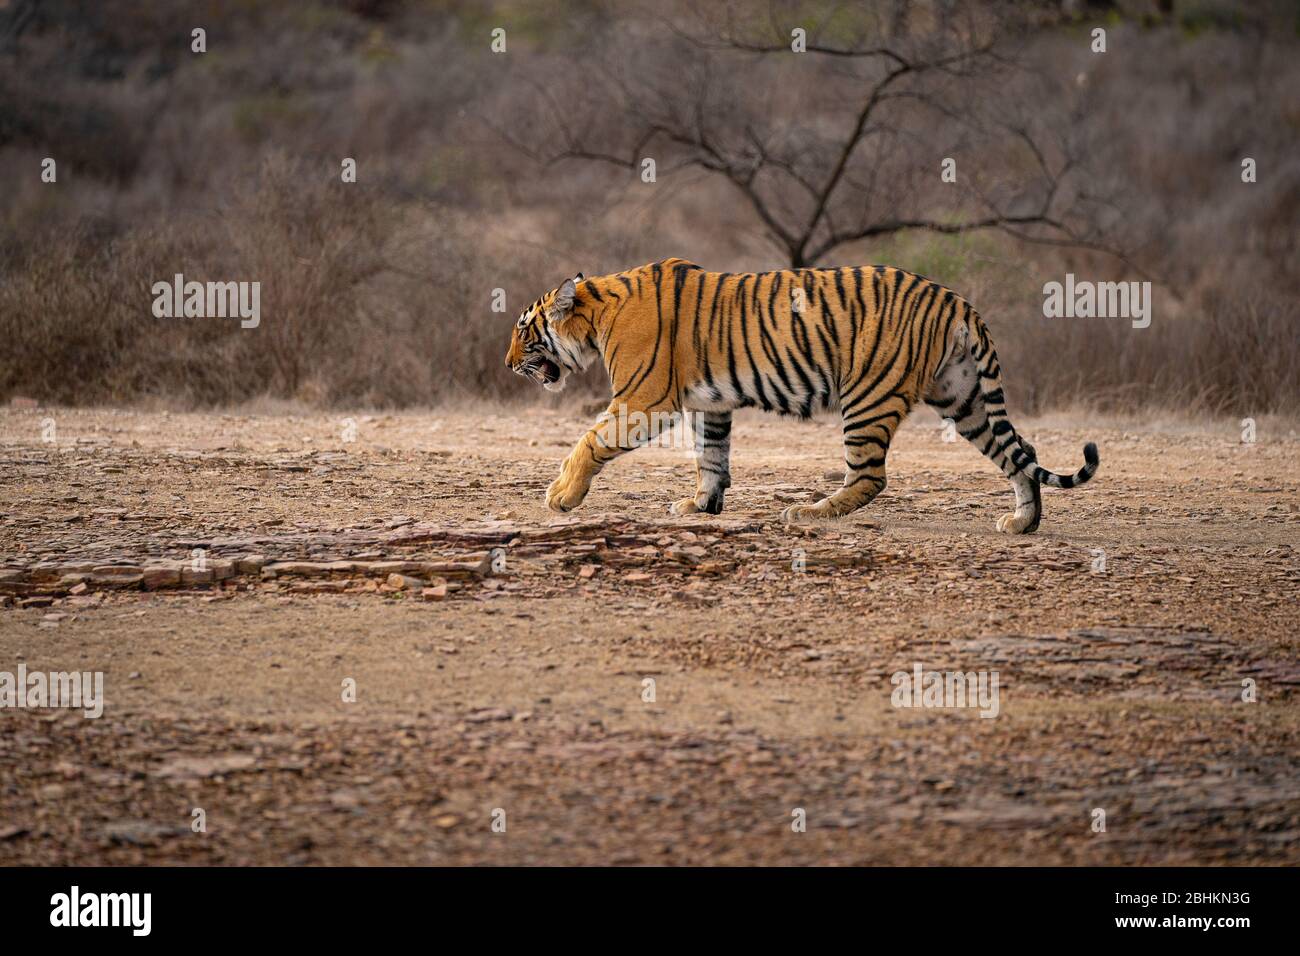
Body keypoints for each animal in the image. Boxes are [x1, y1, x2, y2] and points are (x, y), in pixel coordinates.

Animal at [504, 260, 1097, 530]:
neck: (597, 312)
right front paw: (700, 504)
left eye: (524, 331)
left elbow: (588, 443)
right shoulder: (711, 405)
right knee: (1022, 453)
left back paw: (810, 512)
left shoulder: (643, 402)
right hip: (963, 397)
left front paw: (561, 496)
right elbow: (711, 459)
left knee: (870, 476)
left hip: (868, 396)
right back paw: (1022, 524)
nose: (508, 364)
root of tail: (956, 299)